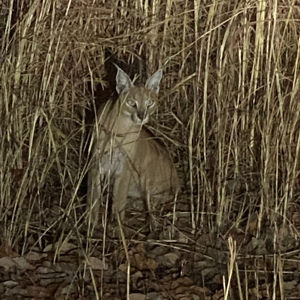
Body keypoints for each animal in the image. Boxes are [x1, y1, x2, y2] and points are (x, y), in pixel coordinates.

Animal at [88, 65, 179, 225]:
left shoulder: (124, 167)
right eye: (131, 102)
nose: (142, 116)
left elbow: (119, 198)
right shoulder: (96, 162)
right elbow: (93, 195)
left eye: (150, 103)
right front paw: (90, 222)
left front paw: (117, 224)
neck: (122, 127)